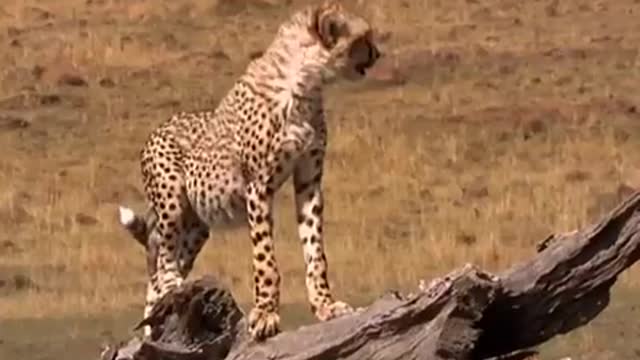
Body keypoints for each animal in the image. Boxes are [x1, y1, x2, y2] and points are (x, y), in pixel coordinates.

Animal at [117, 0, 380, 340]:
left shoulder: (309, 181)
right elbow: (265, 258)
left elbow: (315, 250)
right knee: (162, 264)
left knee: (161, 274)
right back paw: (168, 292)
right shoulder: (258, 186)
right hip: (172, 205)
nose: (377, 53)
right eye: (363, 37)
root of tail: (158, 128)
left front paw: (325, 305)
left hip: (196, 225)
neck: (304, 85)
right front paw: (266, 314)